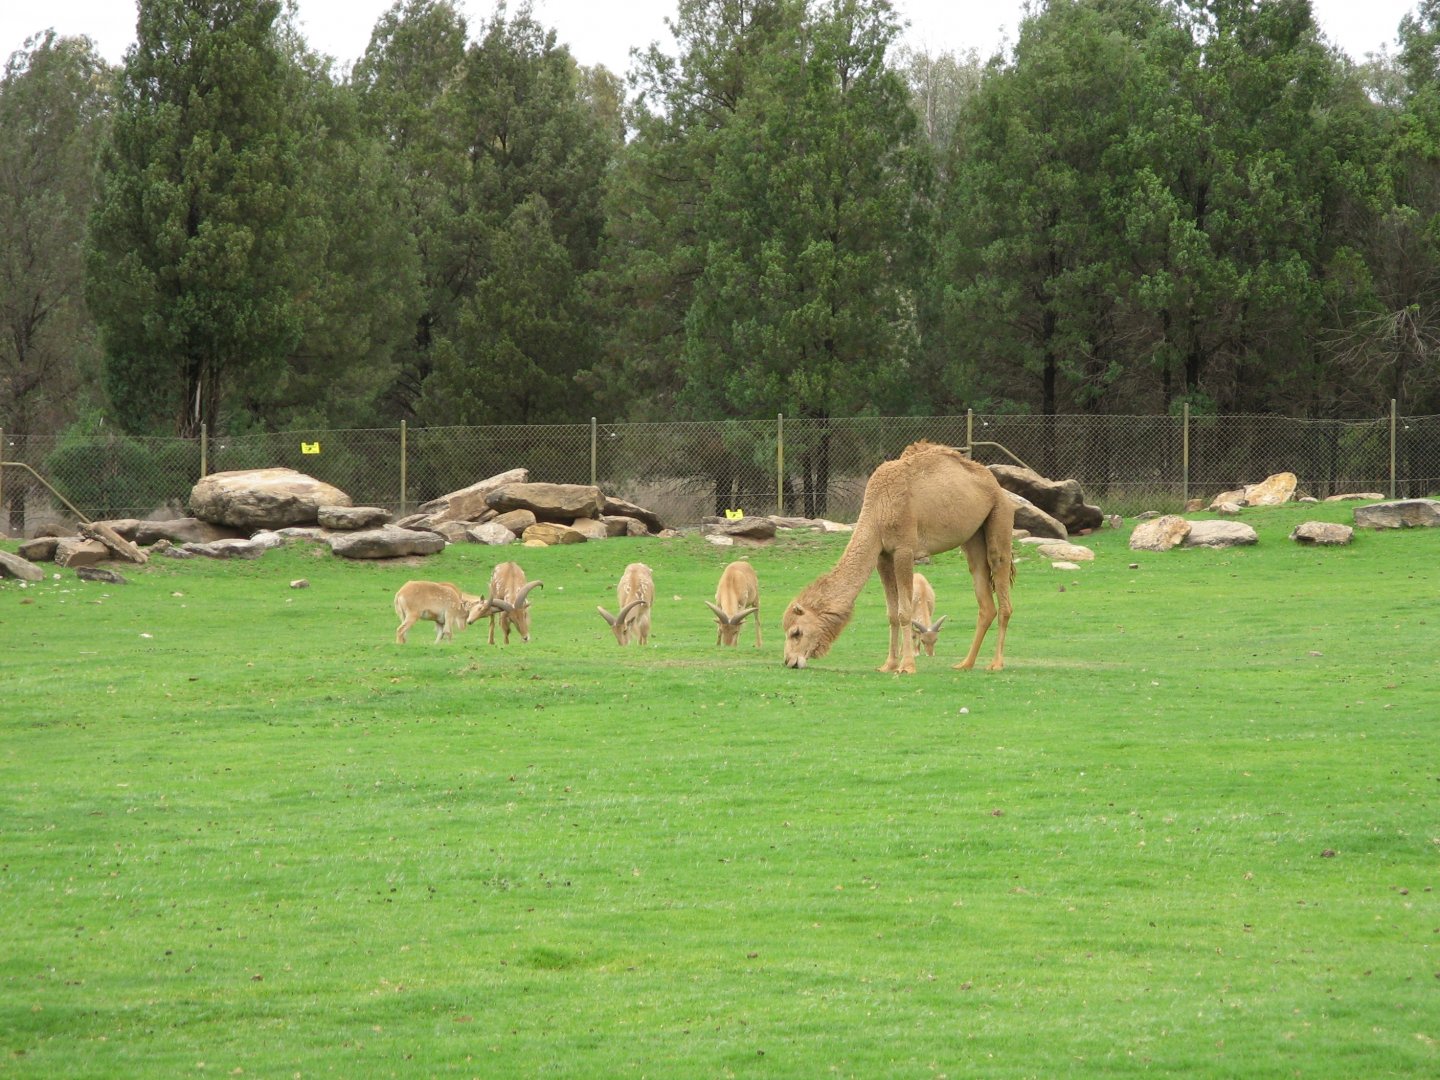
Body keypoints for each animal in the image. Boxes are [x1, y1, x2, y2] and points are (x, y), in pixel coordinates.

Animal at [781, 441, 1016, 674]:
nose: (790, 661)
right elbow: (892, 613)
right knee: (984, 598)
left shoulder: (904, 549)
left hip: (1000, 517)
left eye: (796, 632)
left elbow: (905, 612)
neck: (877, 511)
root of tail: (997, 487)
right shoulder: (883, 555)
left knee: (1001, 583)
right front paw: (889, 664)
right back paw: (966, 663)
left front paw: (907, 666)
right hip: (973, 537)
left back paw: (996, 663)